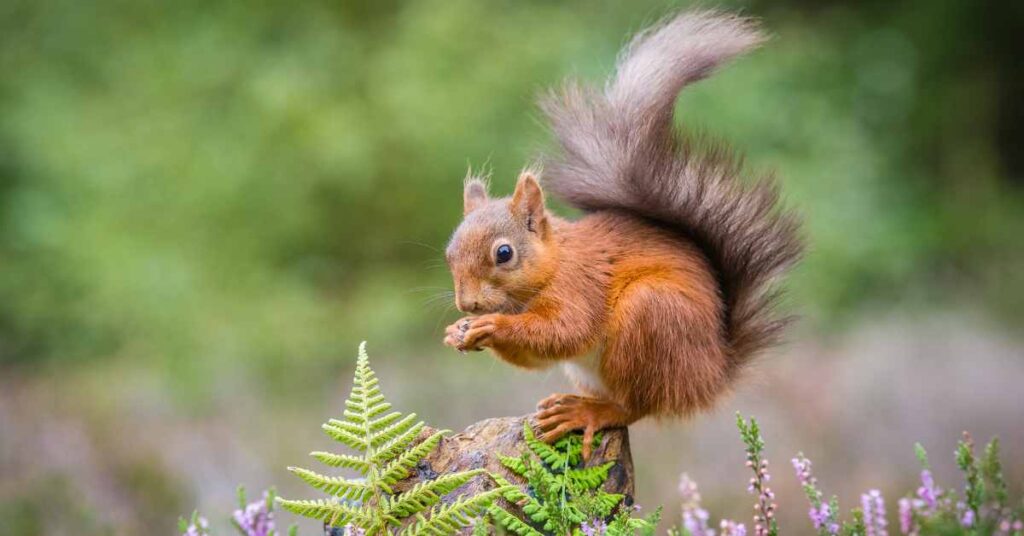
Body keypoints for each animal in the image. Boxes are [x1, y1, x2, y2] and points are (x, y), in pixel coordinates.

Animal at [442, 10, 802, 459]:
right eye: (448, 253)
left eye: (503, 253)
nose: (468, 304)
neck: (553, 264)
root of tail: (712, 375)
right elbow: (537, 357)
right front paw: (457, 331)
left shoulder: (579, 286)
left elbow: (565, 330)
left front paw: (492, 325)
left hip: (649, 317)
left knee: (635, 407)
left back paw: (589, 412)